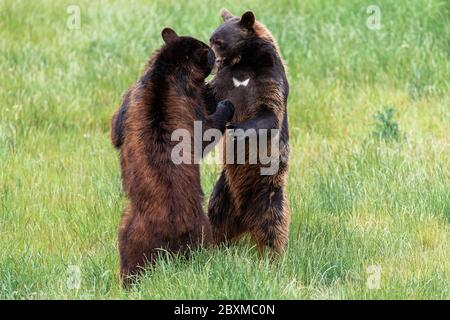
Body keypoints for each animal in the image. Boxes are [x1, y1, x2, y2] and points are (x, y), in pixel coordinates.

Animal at [110, 26, 234, 284]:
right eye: (208, 51)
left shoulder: (130, 95)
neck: (165, 71)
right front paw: (224, 104)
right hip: (199, 229)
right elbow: (204, 132)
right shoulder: (189, 104)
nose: (216, 59)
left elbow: (115, 129)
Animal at [206, 8, 290, 255]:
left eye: (219, 42)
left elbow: (268, 114)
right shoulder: (225, 82)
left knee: (274, 225)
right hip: (223, 190)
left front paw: (235, 130)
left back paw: (272, 256)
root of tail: (245, 220)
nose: (210, 59)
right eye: (211, 39)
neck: (245, 65)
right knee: (215, 217)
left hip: (269, 192)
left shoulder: (269, 80)